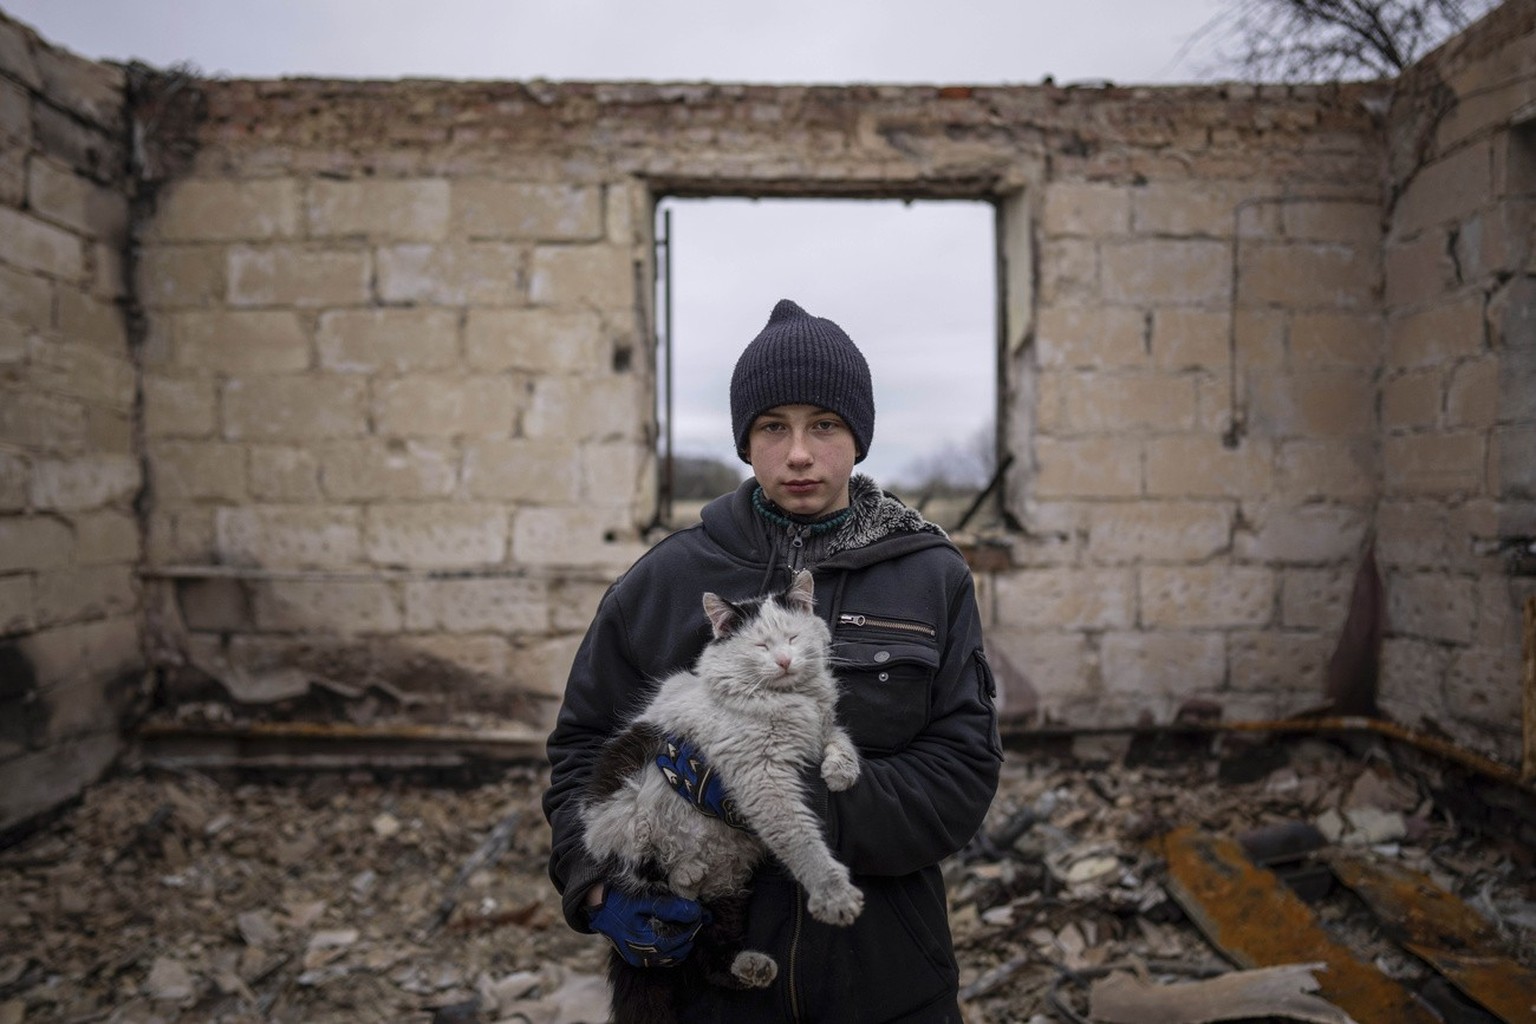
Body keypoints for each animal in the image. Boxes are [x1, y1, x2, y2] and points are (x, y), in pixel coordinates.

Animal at [577, 574, 866, 1019]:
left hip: (728, 896)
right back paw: (684, 871)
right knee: (648, 875)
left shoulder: (820, 730)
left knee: (709, 953)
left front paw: (840, 773)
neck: (791, 700)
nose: (785, 661)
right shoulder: (761, 779)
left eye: (793, 637)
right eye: (761, 646)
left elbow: (838, 738)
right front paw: (834, 896)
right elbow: (800, 839)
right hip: (624, 823)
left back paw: (753, 966)